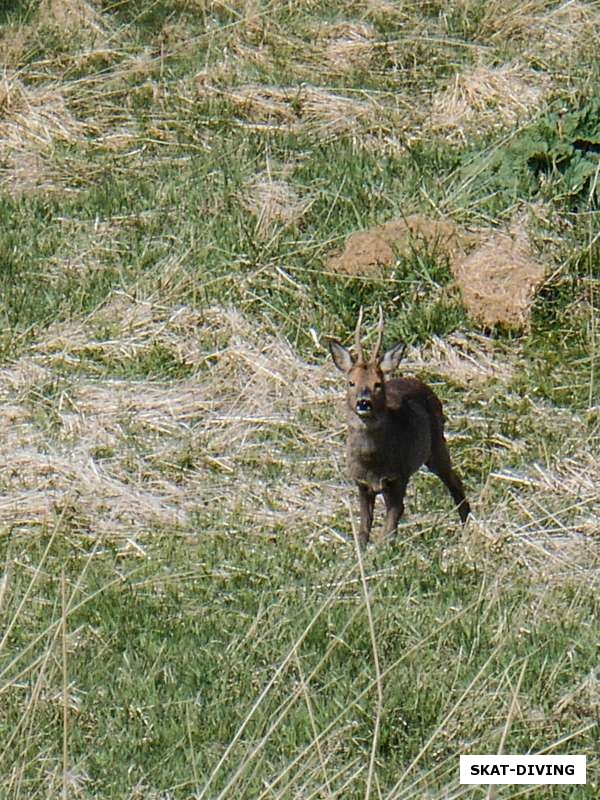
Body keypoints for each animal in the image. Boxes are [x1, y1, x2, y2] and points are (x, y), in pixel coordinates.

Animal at [330, 308, 472, 552]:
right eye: (351, 382)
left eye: (378, 383)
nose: (363, 402)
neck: (372, 461)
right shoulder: (361, 483)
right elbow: (364, 528)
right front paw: (361, 553)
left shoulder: (398, 477)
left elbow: (390, 523)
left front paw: (382, 552)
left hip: (436, 446)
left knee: (455, 482)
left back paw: (465, 530)